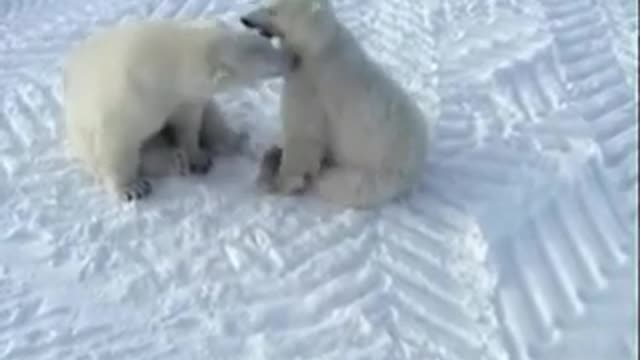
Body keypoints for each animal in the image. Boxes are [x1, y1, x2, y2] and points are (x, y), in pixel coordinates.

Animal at [63, 19, 296, 201]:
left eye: (265, 43)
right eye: (262, 56)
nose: (291, 57)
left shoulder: (184, 99)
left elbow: (189, 124)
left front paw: (198, 158)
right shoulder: (128, 100)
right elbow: (117, 143)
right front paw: (131, 189)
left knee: (213, 118)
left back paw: (237, 141)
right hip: (80, 136)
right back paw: (175, 162)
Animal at [240, 0, 430, 208]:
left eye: (272, 11)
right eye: (266, 3)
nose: (245, 19)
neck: (318, 44)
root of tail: (418, 164)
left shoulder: (311, 86)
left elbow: (304, 135)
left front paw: (280, 183)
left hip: (379, 171)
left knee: (343, 184)